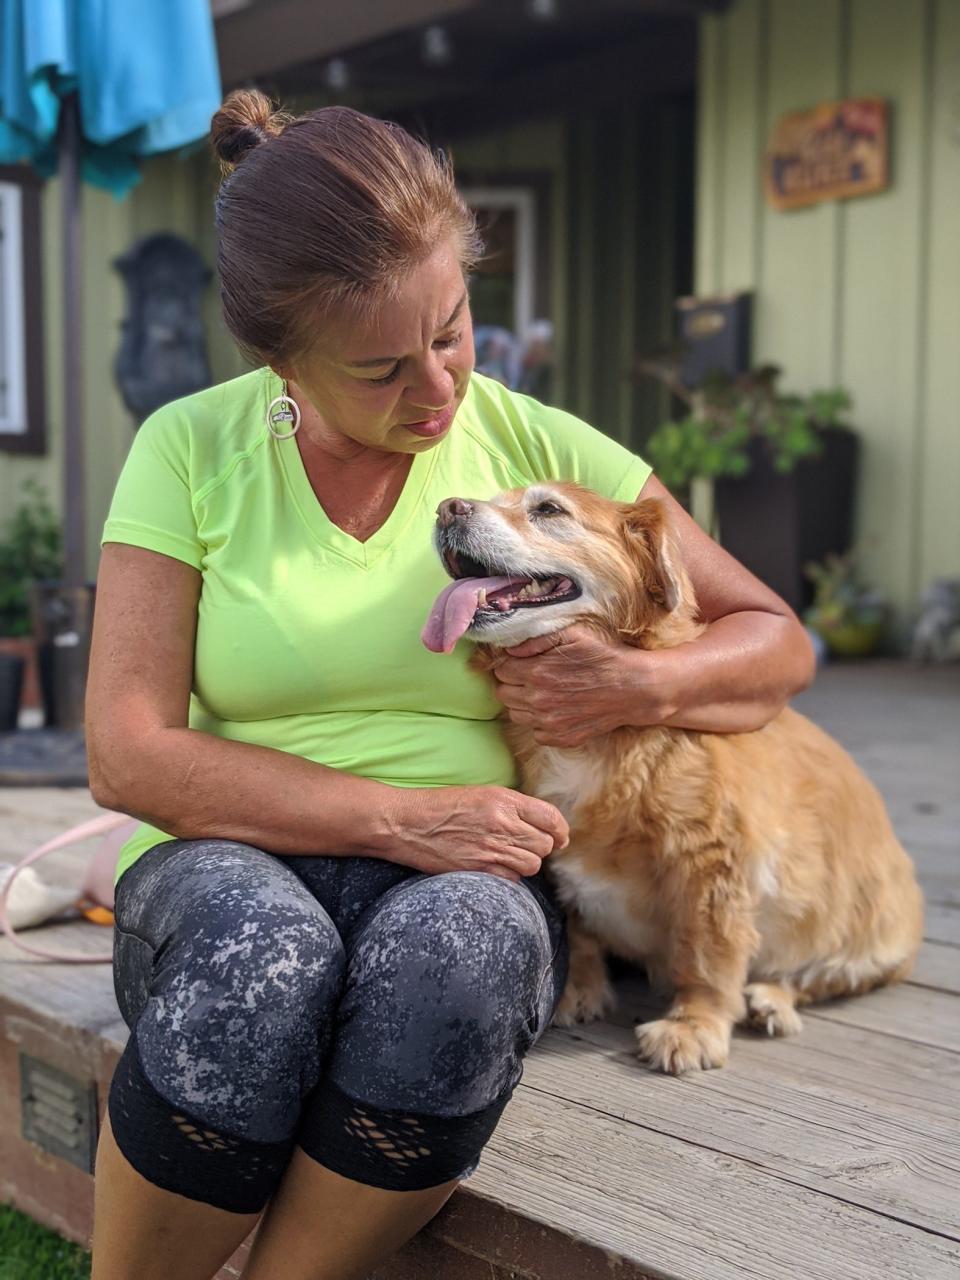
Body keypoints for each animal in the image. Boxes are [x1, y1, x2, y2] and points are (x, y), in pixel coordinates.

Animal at [419, 483, 926, 1075]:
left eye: (548, 509)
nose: (448, 508)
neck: (605, 742)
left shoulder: (712, 864)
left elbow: (707, 954)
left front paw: (695, 1026)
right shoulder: (564, 856)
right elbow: (583, 934)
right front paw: (578, 990)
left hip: (863, 936)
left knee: (817, 976)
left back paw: (771, 998)